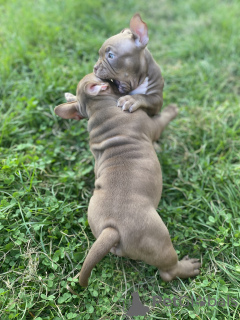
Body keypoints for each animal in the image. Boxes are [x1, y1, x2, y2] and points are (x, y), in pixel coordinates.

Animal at [54, 74, 201, 286]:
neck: (98, 109)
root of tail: (111, 229)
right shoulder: (150, 124)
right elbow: (162, 119)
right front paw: (172, 110)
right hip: (157, 238)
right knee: (168, 271)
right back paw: (188, 267)